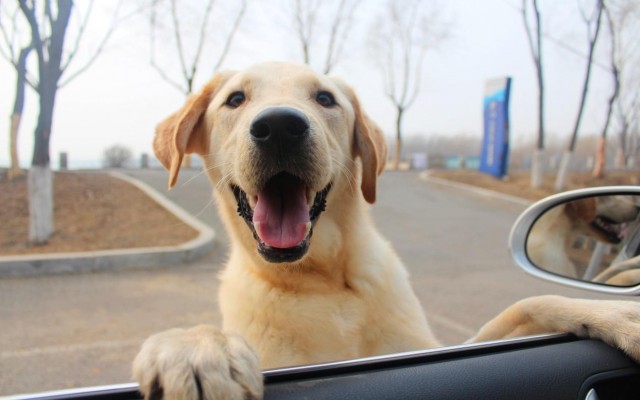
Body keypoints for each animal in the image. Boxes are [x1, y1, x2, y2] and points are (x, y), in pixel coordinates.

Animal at [132, 61, 636, 398]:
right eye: (235, 99)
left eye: (325, 99)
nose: (279, 126)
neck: (324, 282)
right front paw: (195, 349)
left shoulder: (433, 349)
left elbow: (530, 302)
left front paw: (616, 314)